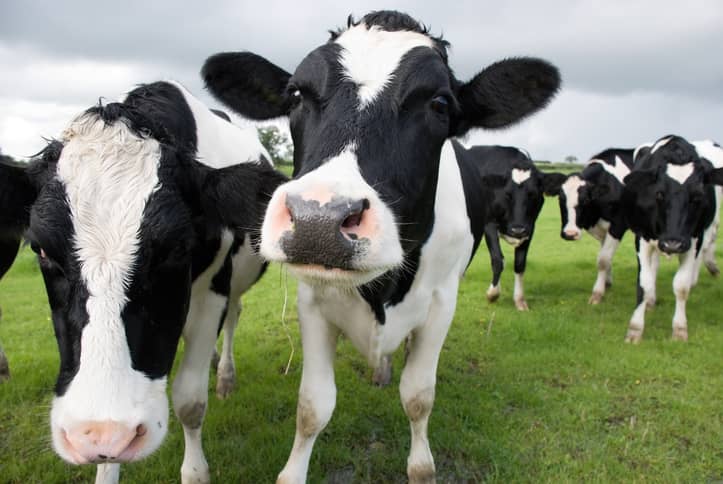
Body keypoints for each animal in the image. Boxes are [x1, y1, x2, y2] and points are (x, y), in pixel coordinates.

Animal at [0, 80, 287, 483]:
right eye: (41, 249)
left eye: (176, 247)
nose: (104, 433)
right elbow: (108, 460)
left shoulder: (214, 290)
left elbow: (190, 401)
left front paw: (195, 472)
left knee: (234, 315)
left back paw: (225, 377)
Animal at [470, 145, 566, 310]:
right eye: (507, 193)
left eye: (532, 194)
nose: (517, 230)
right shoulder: (489, 224)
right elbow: (498, 260)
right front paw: (492, 294)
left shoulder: (530, 228)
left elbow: (520, 264)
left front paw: (520, 300)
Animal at [556, 148, 635, 304]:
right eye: (560, 199)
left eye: (586, 199)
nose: (570, 234)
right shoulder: (601, 229)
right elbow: (606, 256)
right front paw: (607, 283)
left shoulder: (617, 226)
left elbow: (603, 259)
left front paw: (597, 293)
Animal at [622, 135, 723, 343]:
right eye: (659, 194)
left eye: (697, 197)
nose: (672, 243)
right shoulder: (641, 238)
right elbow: (644, 283)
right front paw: (635, 329)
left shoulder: (693, 240)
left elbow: (681, 286)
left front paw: (680, 329)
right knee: (653, 267)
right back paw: (650, 302)